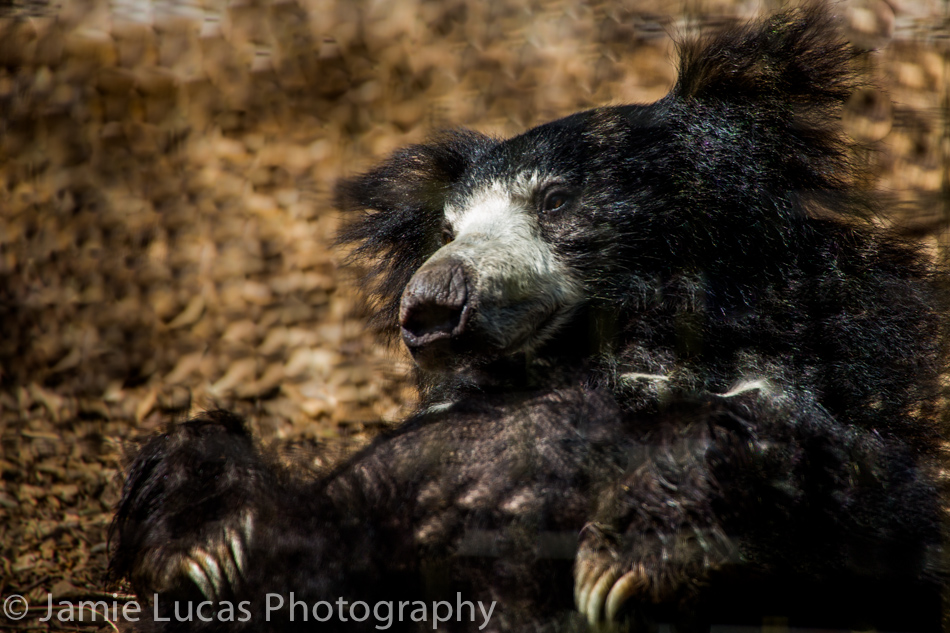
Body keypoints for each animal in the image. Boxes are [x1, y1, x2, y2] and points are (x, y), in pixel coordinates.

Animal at [109, 6, 947, 632]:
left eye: (554, 200)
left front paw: (618, 566)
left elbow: (818, 474)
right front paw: (208, 547)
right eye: (448, 231)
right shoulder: (393, 483)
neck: (593, 357)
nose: (430, 305)